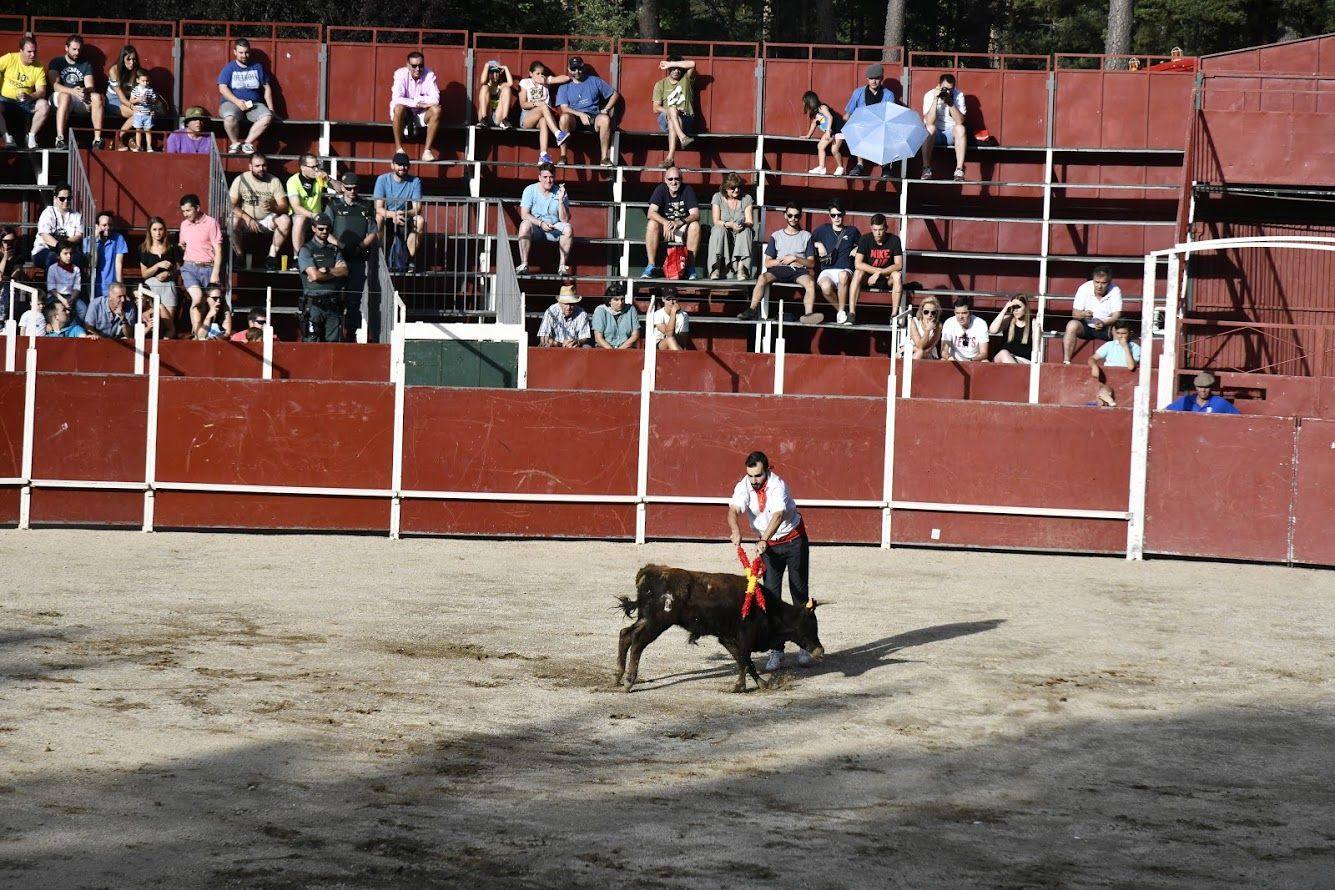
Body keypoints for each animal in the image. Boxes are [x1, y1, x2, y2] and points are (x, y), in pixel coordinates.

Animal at [614, 563, 822, 693]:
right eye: (810, 625)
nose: (820, 651)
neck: (768, 609)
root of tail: (649, 571)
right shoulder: (745, 637)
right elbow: (745, 660)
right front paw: (739, 686)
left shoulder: (727, 638)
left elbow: (745, 662)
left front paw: (761, 684)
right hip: (657, 623)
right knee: (637, 642)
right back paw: (628, 681)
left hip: (645, 619)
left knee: (625, 634)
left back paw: (617, 677)